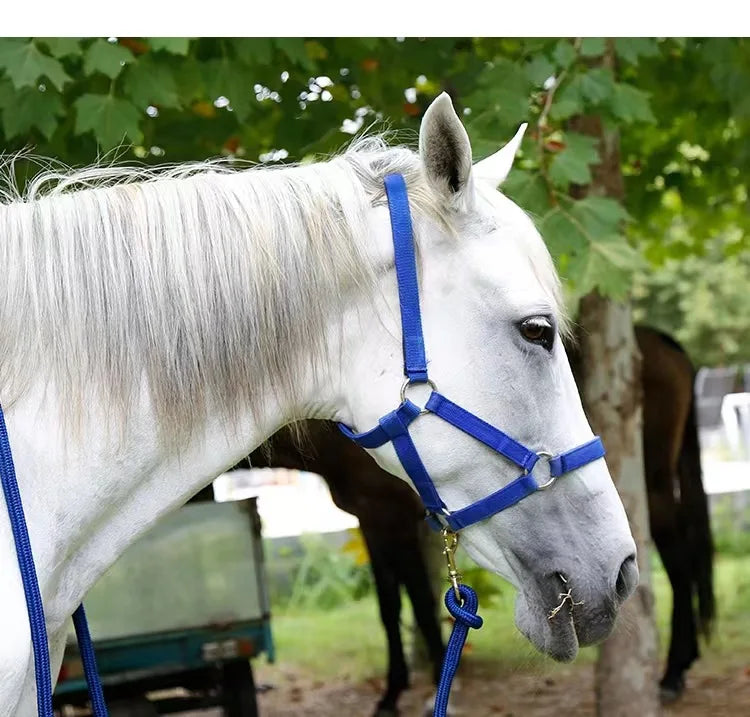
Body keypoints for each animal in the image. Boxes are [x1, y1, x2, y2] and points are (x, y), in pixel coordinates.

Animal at [234, 325, 711, 713]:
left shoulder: (391, 518)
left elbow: (418, 603)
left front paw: (428, 687)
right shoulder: (371, 521)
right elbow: (390, 606)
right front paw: (394, 691)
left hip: (651, 485)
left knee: (678, 559)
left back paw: (672, 672)